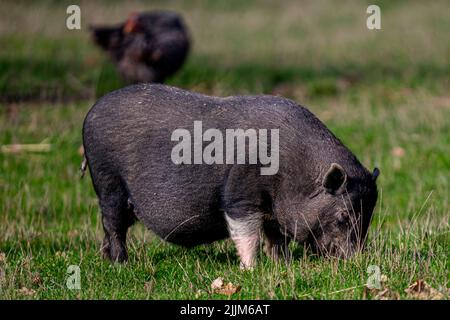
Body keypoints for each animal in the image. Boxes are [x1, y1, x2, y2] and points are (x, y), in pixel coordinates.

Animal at [82, 84, 378, 268]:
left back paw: (107, 259)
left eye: (369, 216)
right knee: (113, 224)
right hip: (108, 181)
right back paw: (121, 263)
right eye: (343, 215)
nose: (357, 260)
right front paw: (251, 269)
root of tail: (91, 112)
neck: (293, 173)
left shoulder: (274, 210)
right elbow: (246, 232)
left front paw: (282, 265)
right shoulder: (240, 193)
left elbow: (276, 238)